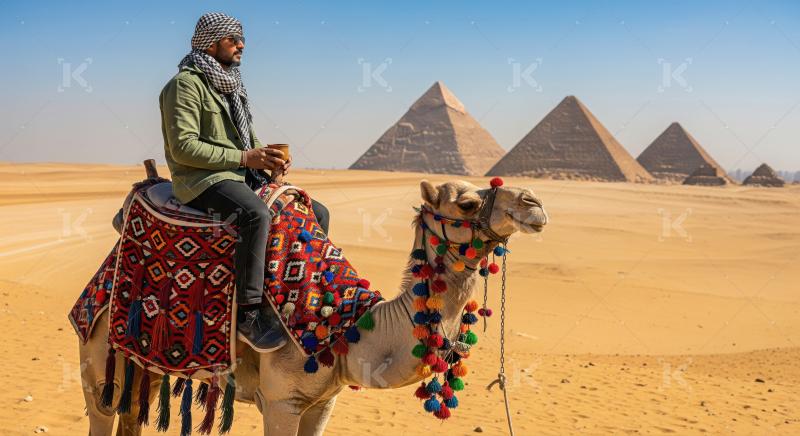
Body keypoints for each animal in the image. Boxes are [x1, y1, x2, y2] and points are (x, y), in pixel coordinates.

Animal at [77, 177, 548, 436]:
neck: (347, 328)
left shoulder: (323, 402)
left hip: (146, 366)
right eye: (466, 203)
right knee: (103, 413)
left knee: (132, 416)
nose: (534, 203)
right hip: (96, 357)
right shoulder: (281, 400)